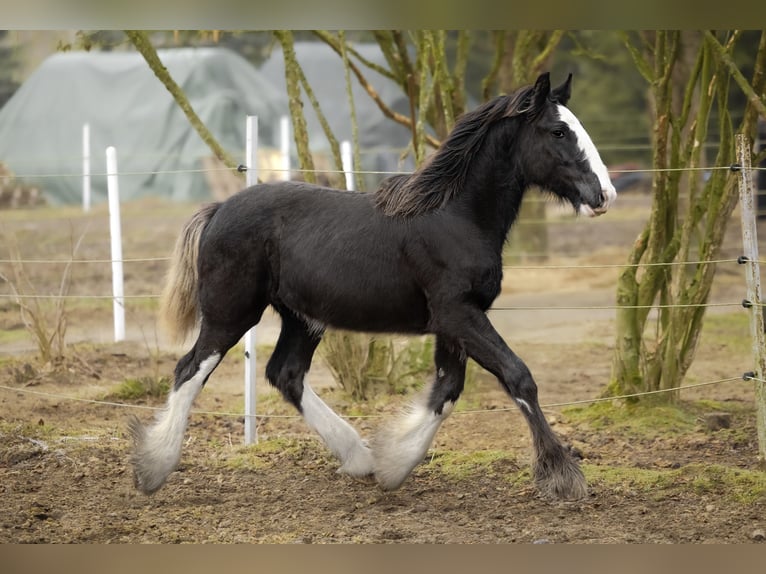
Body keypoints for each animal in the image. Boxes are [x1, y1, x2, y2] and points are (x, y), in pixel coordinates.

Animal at [129, 72, 617, 500]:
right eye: (558, 131)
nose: (604, 195)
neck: (453, 216)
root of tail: (218, 209)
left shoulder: (453, 322)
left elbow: (447, 391)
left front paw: (393, 464)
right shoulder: (459, 313)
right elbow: (518, 376)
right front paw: (562, 476)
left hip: (302, 318)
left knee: (286, 374)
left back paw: (359, 458)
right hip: (231, 312)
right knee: (190, 369)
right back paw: (154, 468)